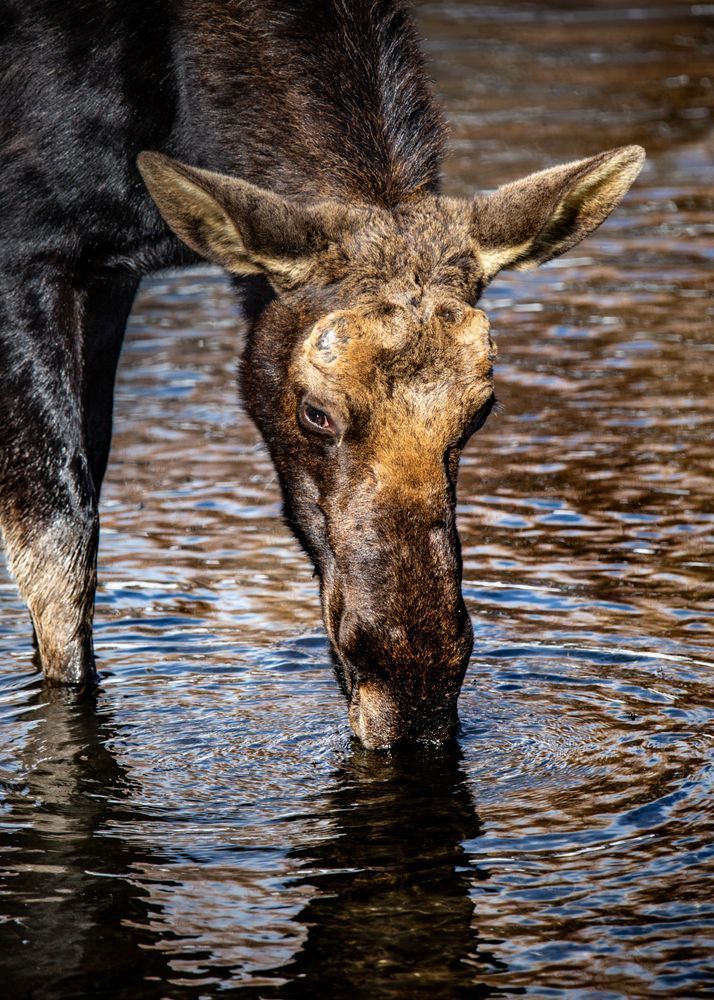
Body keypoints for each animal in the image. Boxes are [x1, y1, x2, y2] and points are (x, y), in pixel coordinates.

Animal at [0, 0, 644, 748]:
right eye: (316, 412)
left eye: (480, 411)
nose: (414, 694)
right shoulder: (29, 251)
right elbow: (59, 558)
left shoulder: (110, 274)